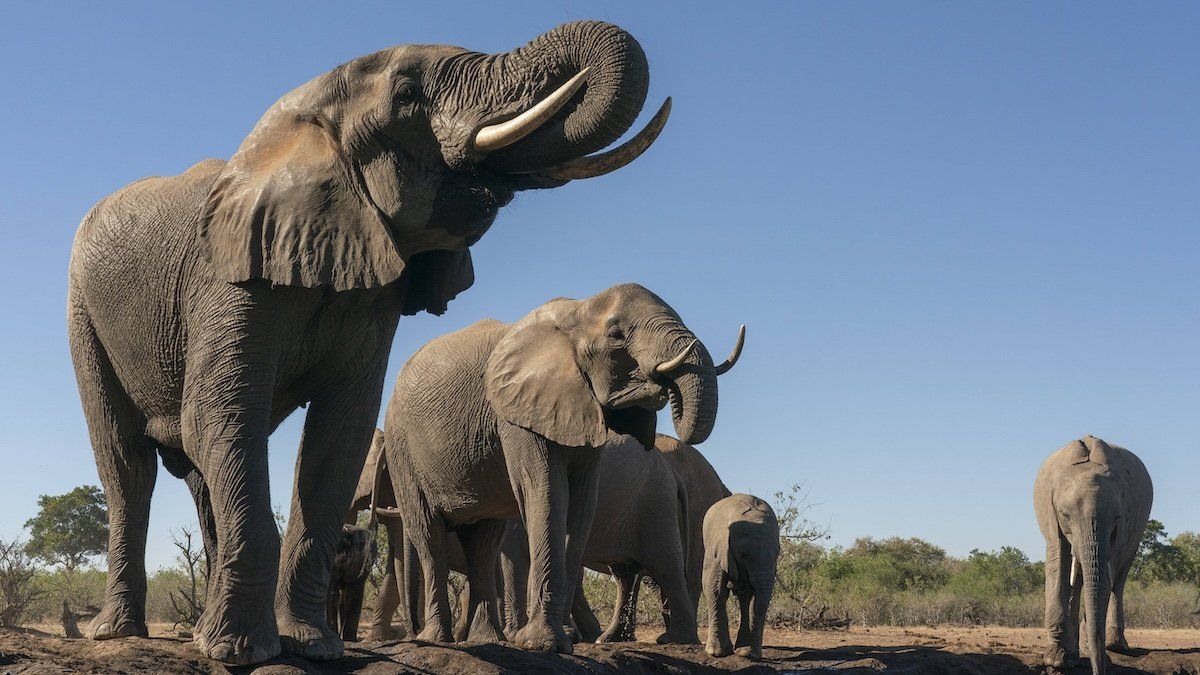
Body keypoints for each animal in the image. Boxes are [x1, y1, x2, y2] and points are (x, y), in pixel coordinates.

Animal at [68, 21, 667, 662]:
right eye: (406, 94)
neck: (307, 114)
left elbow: (341, 435)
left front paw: (313, 646)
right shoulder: (227, 276)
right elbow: (218, 415)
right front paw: (240, 653)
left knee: (201, 475)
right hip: (83, 313)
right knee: (128, 466)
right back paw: (121, 632)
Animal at [379, 283, 734, 653]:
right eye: (616, 336)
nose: (663, 388)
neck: (576, 311)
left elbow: (579, 503)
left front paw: (548, 641)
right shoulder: (515, 415)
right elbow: (547, 494)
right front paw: (542, 643)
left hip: (657, 504)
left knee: (486, 542)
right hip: (403, 447)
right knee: (431, 534)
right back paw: (441, 640)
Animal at [700, 487, 777, 658]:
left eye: (778, 554)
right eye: (743, 554)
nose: (754, 656)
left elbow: (752, 595)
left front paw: (748, 654)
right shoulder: (717, 547)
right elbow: (714, 587)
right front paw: (717, 653)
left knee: (745, 597)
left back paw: (743, 650)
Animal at [1032, 432, 1152, 667]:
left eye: (1117, 518)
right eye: (1066, 515)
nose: (1099, 669)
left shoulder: (1121, 527)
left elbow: (1105, 576)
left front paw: (1095, 655)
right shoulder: (1051, 515)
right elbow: (1058, 563)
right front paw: (1056, 660)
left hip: (1139, 528)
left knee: (1118, 579)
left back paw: (1114, 645)